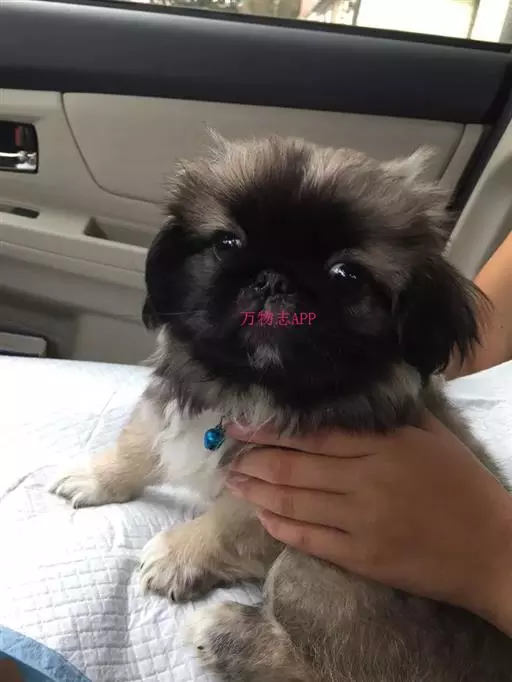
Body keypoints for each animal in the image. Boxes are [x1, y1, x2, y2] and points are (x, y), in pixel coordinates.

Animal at [51, 136, 512, 681]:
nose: (273, 279)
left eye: (347, 274)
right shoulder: (171, 406)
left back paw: (226, 633)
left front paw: (177, 556)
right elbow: (138, 446)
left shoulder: (280, 502)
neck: (251, 392)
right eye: (227, 243)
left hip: (310, 567)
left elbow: (222, 528)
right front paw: (97, 477)